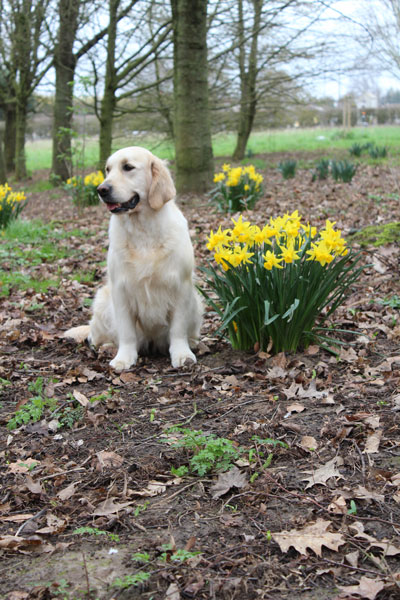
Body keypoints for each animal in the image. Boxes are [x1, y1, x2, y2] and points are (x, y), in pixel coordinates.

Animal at [66, 145, 205, 370]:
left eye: (128, 167)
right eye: (107, 170)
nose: (101, 189)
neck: (143, 231)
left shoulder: (181, 287)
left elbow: (178, 329)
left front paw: (182, 354)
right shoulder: (121, 290)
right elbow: (127, 332)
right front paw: (124, 358)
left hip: (196, 303)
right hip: (102, 302)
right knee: (95, 337)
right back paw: (106, 347)